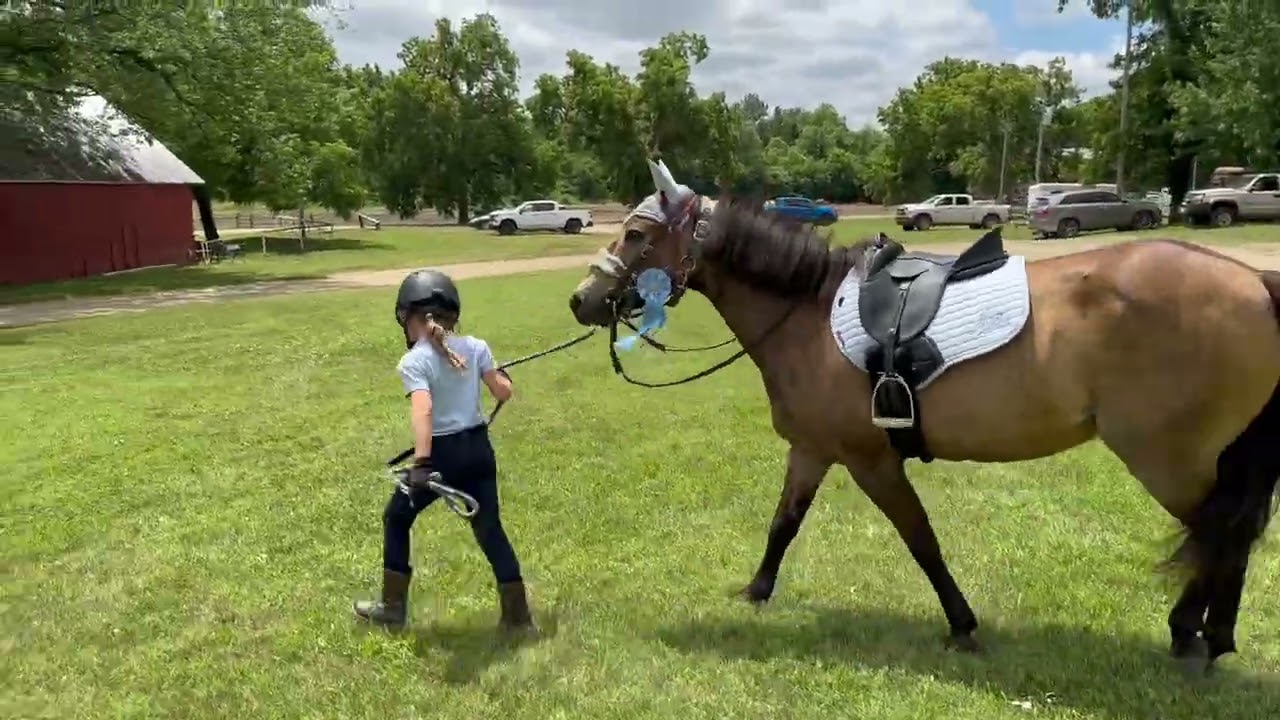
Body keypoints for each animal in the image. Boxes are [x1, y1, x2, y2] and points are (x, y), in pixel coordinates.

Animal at [566, 160, 1280, 674]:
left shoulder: (870, 461)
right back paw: (1210, 635)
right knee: (1232, 535)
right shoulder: (813, 450)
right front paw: (756, 592)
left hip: (1167, 459)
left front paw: (962, 624)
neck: (807, 315)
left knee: (1221, 534)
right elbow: (783, 525)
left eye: (637, 234)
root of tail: (1252, 282)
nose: (581, 300)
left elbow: (920, 539)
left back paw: (1191, 633)